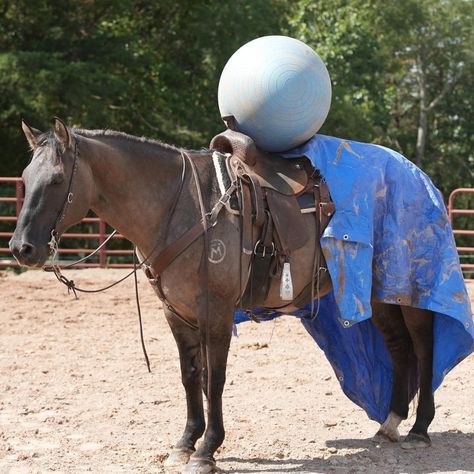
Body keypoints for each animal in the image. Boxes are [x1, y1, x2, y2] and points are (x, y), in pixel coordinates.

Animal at [8, 117, 436, 470]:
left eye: (57, 180)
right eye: (26, 177)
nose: (21, 248)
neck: (178, 206)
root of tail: (417, 176)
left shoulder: (216, 311)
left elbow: (214, 377)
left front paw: (207, 449)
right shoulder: (177, 314)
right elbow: (190, 375)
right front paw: (185, 442)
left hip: (410, 294)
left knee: (422, 346)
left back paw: (419, 428)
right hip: (379, 294)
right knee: (399, 348)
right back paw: (390, 423)